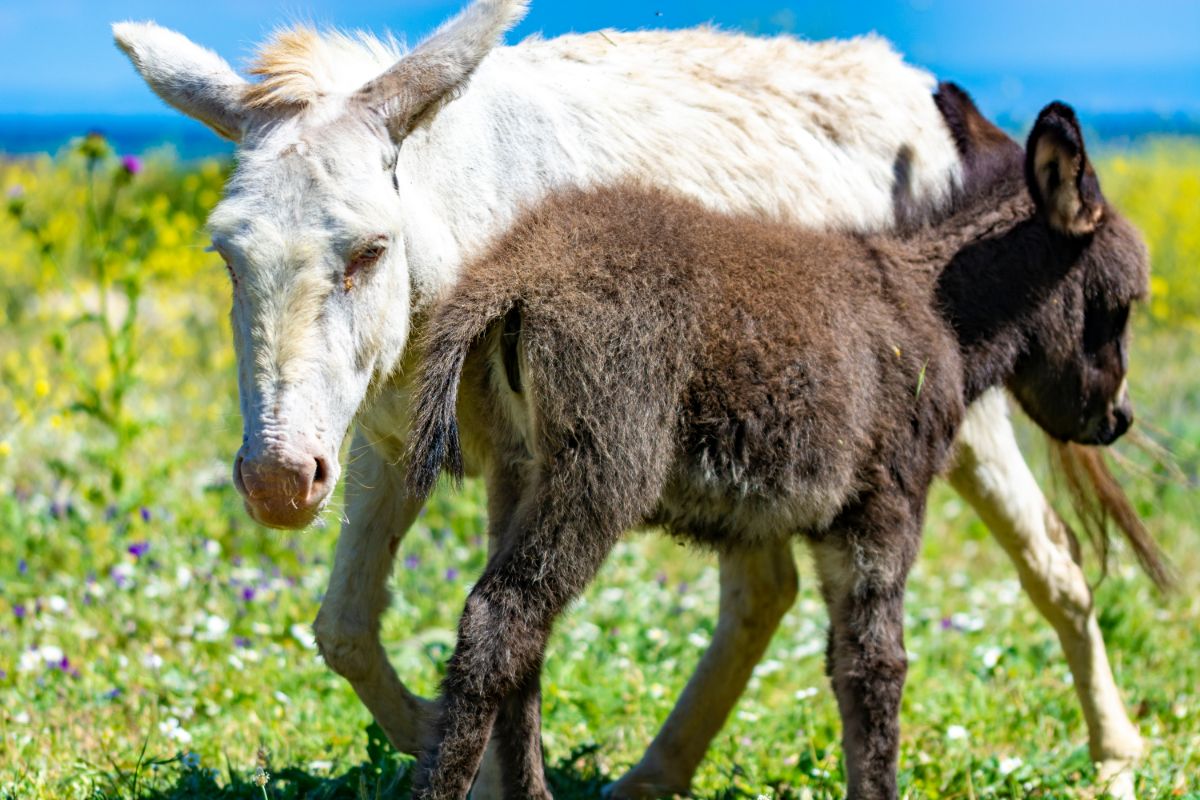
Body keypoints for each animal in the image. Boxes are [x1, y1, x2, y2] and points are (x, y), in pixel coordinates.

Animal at [408, 89, 1147, 800]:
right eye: (1119, 304)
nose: (1118, 421)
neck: (937, 309)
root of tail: (522, 269)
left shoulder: (831, 524)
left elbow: (844, 662)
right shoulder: (884, 508)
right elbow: (875, 668)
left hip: (519, 469)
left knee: (524, 644)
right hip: (604, 468)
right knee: (501, 621)